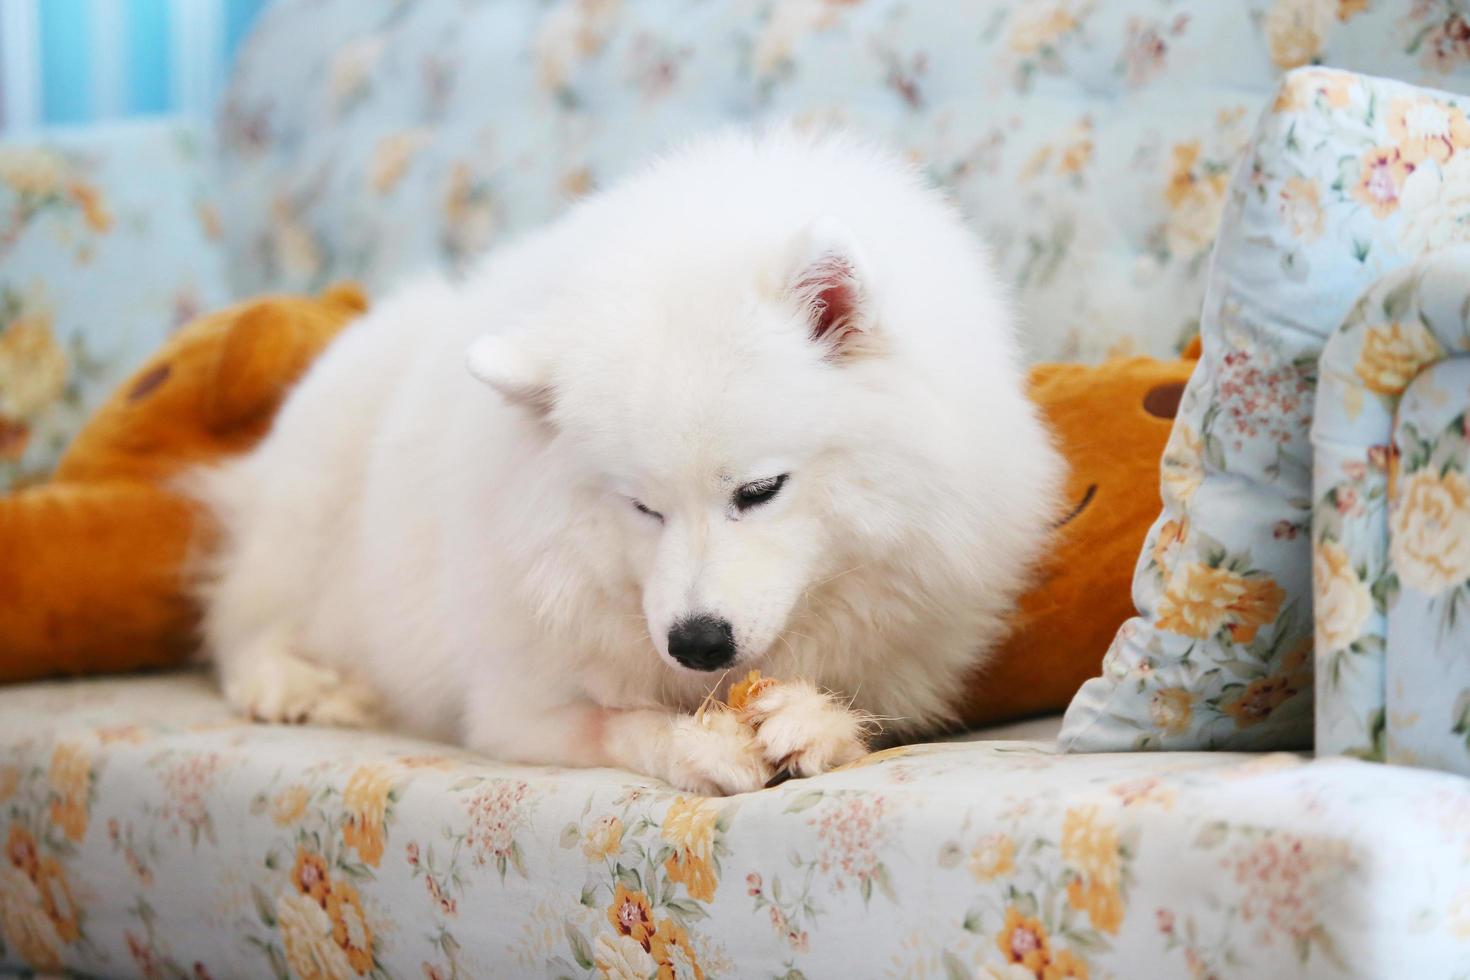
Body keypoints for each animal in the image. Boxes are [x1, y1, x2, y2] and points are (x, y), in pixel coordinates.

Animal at [198, 128, 1070, 799]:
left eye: (760, 490)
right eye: (642, 507)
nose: (698, 643)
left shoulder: (913, 663)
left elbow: (870, 709)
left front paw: (815, 720)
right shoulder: (513, 709)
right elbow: (622, 723)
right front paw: (702, 745)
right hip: (307, 512)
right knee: (243, 625)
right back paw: (298, 685)